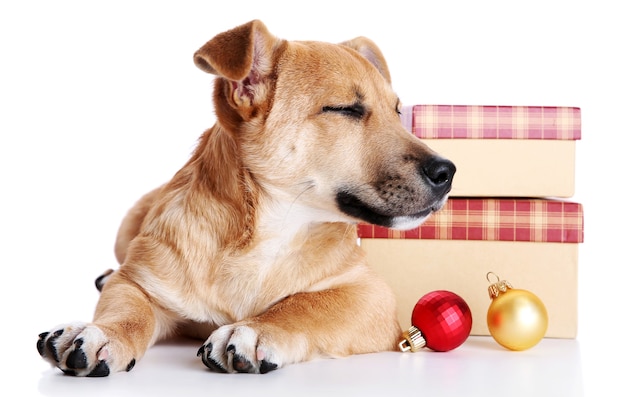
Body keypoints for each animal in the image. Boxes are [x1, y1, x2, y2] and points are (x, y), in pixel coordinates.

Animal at [35, 20, 454, 376]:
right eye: (345, 109)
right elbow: (127, 310)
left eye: (397, 112)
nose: (447, 173)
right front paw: (101, 332)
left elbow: (305, 304)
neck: (267, 234)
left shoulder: (371, 294)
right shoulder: (140, 281)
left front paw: (255, 330)